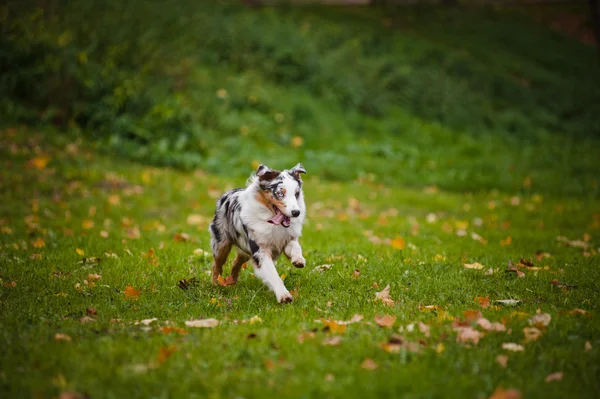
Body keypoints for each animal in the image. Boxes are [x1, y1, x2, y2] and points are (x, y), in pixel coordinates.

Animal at [209, 162, 308, 304]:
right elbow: (273, 275)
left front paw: (298, 260)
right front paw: (284, 295)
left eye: (296, 193)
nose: (296, 213)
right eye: (280, 193)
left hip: (244, 251)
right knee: (216, 265)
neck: (272, 221)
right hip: (221, 245)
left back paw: (231, 281)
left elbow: (295, 247)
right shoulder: (260, 251)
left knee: (236, 261)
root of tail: (228, 193)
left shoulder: (287, 238)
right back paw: (215, 285)